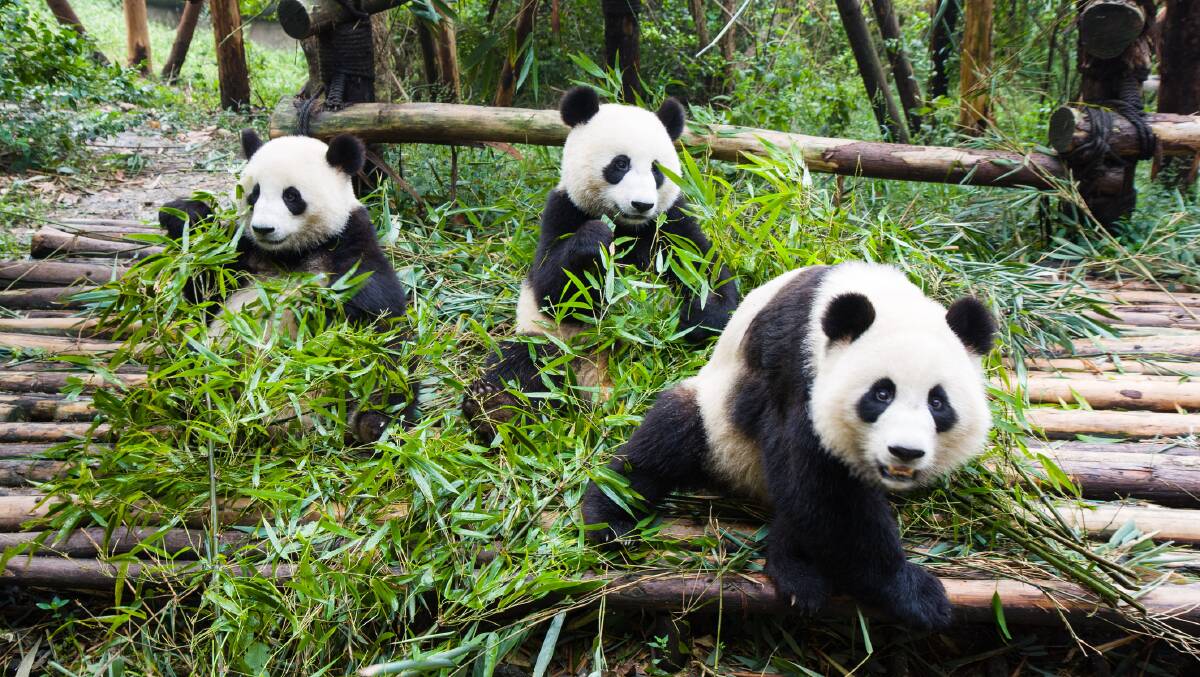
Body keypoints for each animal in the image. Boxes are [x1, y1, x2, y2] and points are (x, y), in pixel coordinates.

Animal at [158, 130, 417, 442]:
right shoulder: (243, 253)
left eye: (291, 196)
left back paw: (372, 424)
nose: (263, 229)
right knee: (184, 376)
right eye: (254, 195)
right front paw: (184, 214)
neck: (289, 254)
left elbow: (376, 308)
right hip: (207, 367)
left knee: (389, 376)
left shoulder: (350, 240)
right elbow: (205, 288)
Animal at [463, 86, 741, 440]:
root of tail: (597, 385)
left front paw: (695, 316)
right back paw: (494, 409)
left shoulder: (671, 222)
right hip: (555, 345)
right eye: (620, 164)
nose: (642, 204)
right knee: (520, 361)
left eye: (656, 170)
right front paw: (595, 240)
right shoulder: (563, 209)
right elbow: (551, 289)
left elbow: (707, 272)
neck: (627, 226)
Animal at [581, 262, 996, 630]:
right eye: (881, 394)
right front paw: (915, 592)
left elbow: (812, 495)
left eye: (937, 402)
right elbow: (821, 487)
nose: (904, 452)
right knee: (664, 443)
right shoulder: (797, 368)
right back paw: (610, 519)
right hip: (717, 425)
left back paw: (794, 568)